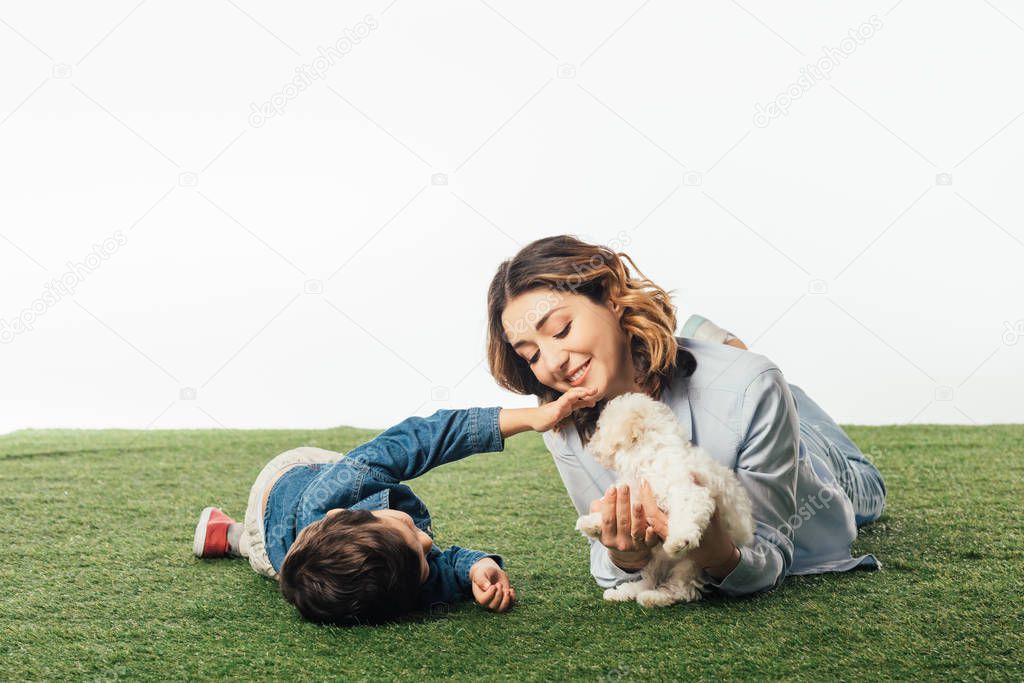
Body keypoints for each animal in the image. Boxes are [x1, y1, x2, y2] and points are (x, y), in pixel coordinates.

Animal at [577, 393, 753, 606]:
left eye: (600, 429)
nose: (591, 444)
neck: (650, 456)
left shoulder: (688, 490)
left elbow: (686, 512)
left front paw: (678, 539)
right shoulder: (639, 497)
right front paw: (591, 522)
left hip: (690, 564)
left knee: (682, 589)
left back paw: (654, 597)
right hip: (655, 560)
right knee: (649, 579)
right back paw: (624, 592)